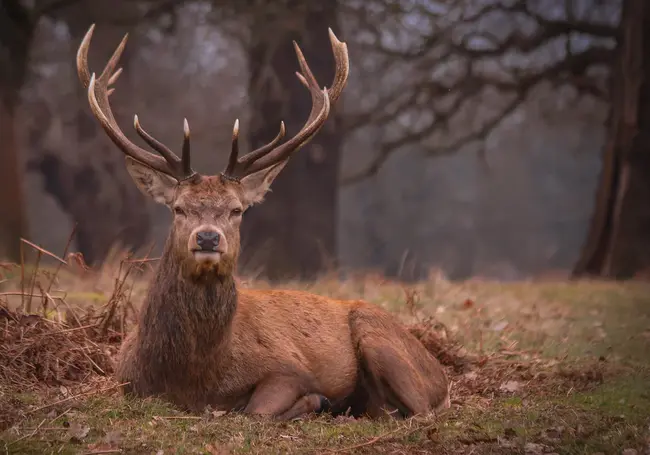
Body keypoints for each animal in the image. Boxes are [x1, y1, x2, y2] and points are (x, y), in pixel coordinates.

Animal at [76, 24, 448, 420]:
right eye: (178, 208)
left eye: (237, 210)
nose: (207, 238)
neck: (195, 378)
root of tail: (441, 374)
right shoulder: (127, 382)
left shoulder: (288, 368)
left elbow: (258, 409)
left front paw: (313, 401)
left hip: (380, 339)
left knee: (420, 410)